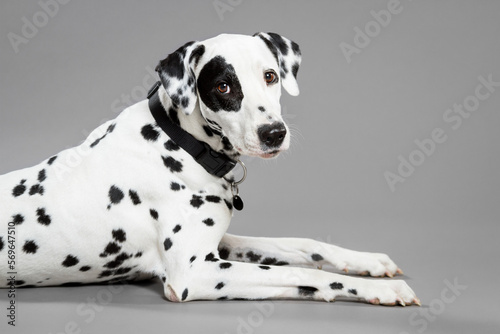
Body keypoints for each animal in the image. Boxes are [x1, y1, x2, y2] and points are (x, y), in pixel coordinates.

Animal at [0, 32, 422, 306]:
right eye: (222, 86)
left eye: (270, 76)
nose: (274, 133)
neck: (180, 142)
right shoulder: (195, 273)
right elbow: (306, 274)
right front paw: (384, 291)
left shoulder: (220, 244)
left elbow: (303, 246)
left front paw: (368, 262)